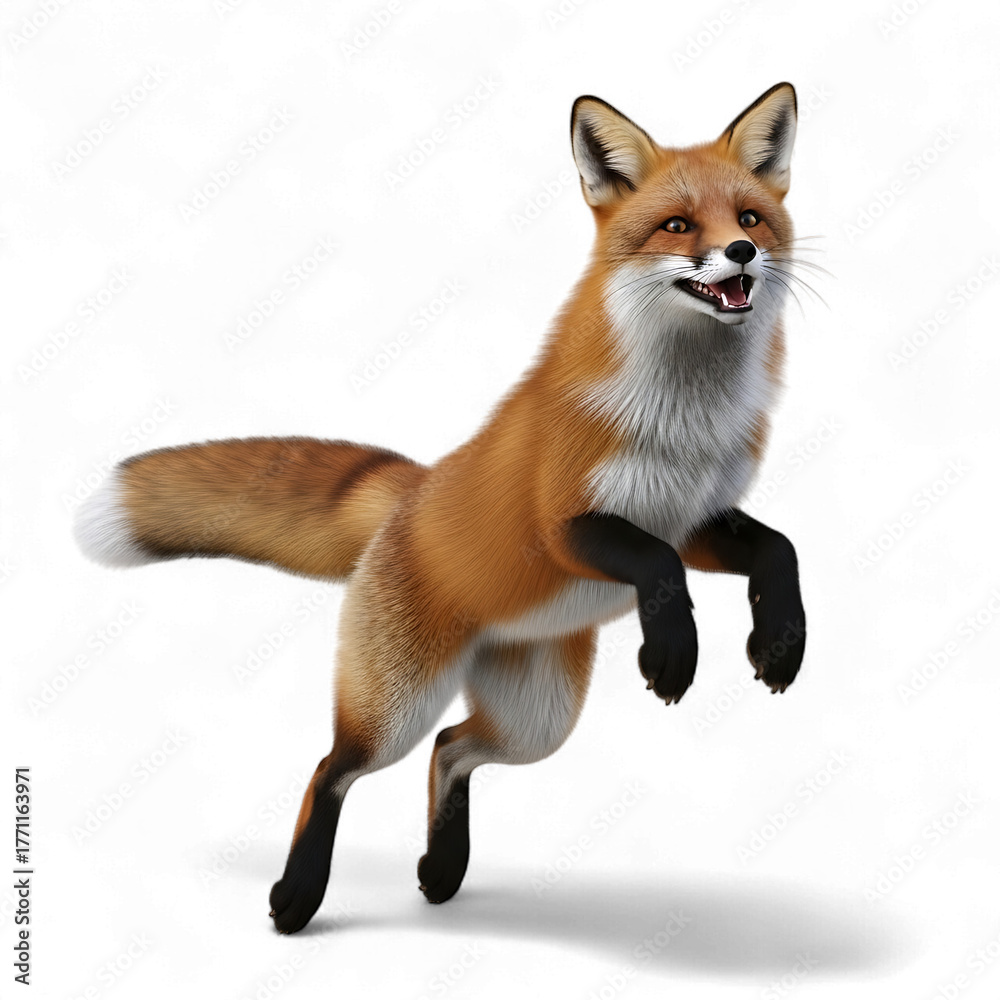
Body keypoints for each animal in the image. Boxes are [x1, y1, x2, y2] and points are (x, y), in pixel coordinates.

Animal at [75, 82, 808, 934]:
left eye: (750, 217)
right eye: (679, 226)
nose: (742, 253)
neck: (686, 423)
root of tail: (413, 489)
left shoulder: (697, 520)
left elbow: (780, 549)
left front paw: (780, 643)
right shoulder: (565, 524)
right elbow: (656, 564)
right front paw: (673, 650)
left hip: (537, 721)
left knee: (451, 748)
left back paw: (442, 867)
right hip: (396, 706)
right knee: (334, 768)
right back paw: (297, 897)